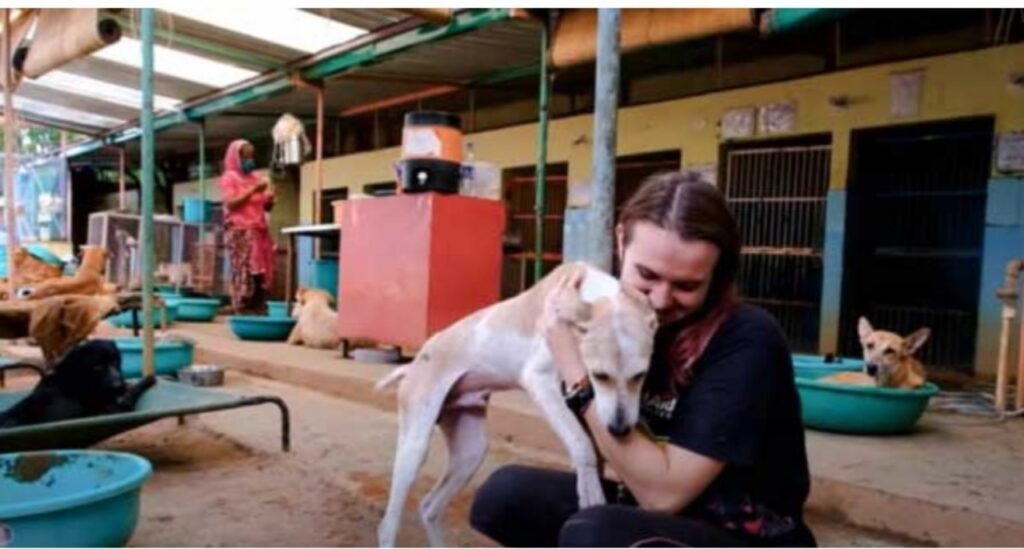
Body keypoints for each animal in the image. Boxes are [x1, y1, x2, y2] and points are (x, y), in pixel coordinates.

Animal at [376, 261, 655, 544]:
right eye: (599, 375)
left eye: (641, 375)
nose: (620, 430)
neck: (593, 295)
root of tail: (412, 365)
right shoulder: (539, 380)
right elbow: (582, 445)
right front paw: (591, 490)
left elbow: (591, 447)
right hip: (414, 449)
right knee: (388, 525)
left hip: (470, 453)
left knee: (429, 508)